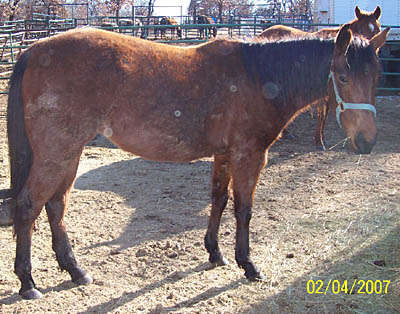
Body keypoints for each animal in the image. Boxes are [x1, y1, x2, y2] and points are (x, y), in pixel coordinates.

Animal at [256, 5, 382, 150]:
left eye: (378, 30)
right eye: (361, 30)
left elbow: (324, 115)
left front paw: (321, 139)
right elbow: (322, 115)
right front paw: (319, 141)